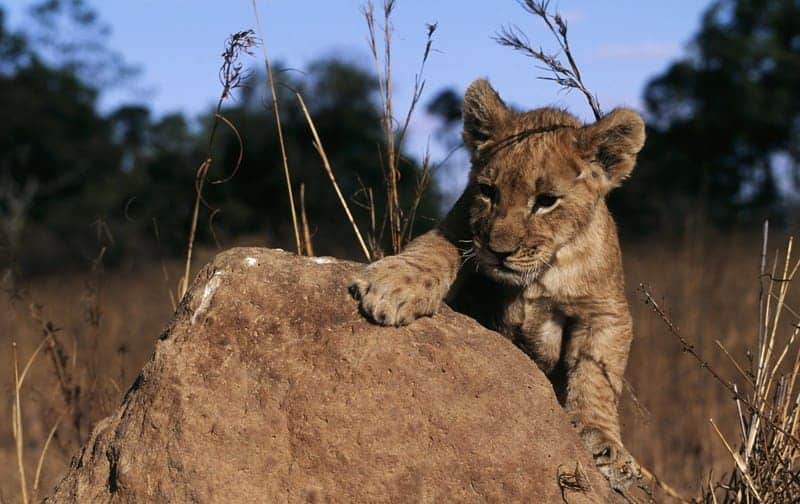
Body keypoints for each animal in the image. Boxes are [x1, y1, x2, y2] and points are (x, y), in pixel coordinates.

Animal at [350, 79, 646, 490]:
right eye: (488, 191)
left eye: (547, 201)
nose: (498, 251)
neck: (536, 277)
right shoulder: (458, 226)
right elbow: (433, 250)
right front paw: (390, 285)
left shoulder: (604, 311)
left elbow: (596, 376)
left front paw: (604, 442)